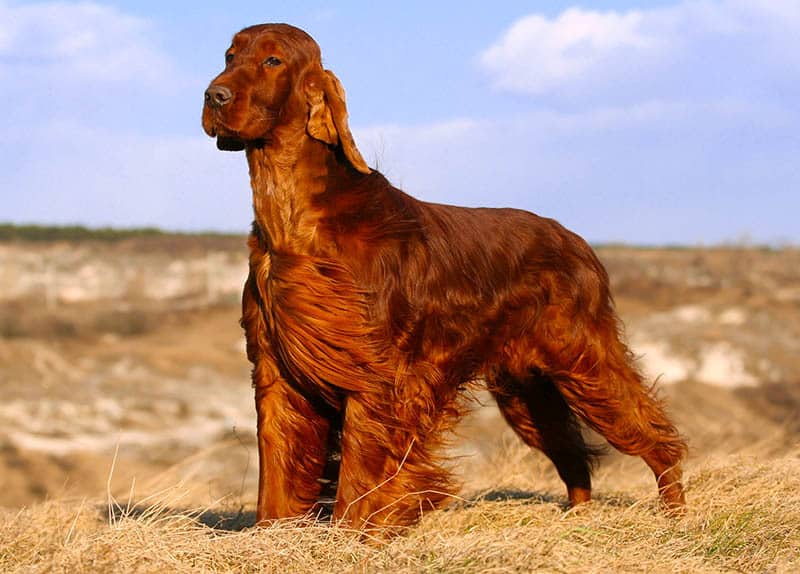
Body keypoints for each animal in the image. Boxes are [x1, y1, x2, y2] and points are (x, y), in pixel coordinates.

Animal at [203, 22, 684, 536]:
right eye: (230, 55)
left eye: (272, 60)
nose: (213, 95)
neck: (294, 222)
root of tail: (577, 242)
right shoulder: (275, 373)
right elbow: (276, 477)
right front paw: (268, 537)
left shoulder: (377, 379)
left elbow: (358, 482)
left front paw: (350, 538)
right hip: (528, 390)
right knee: (573, 458)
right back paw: (575, 522)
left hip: (585, 364)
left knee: (657, 437)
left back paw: (677, 516)